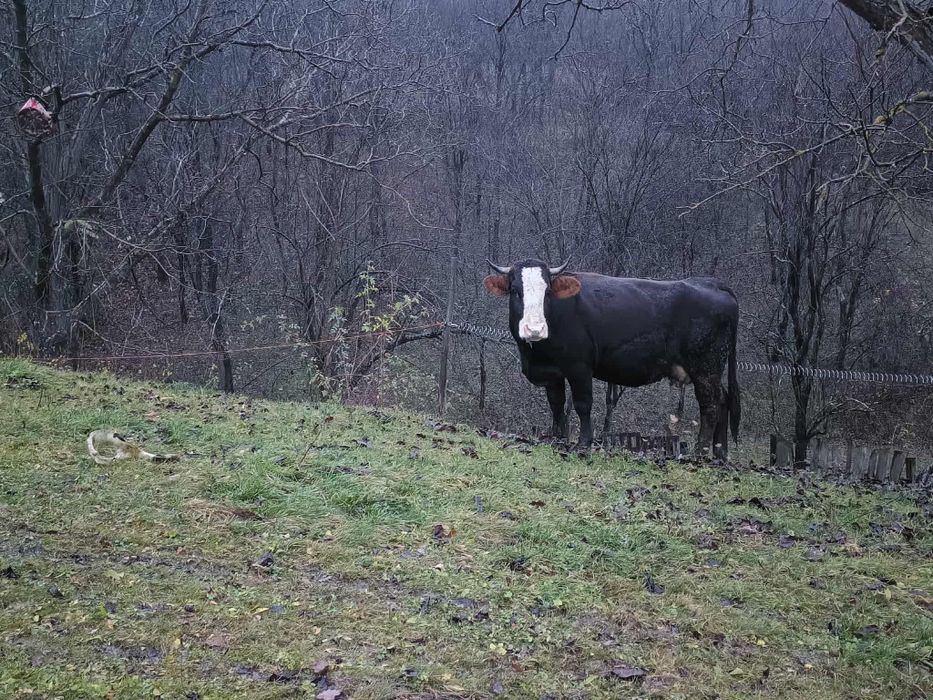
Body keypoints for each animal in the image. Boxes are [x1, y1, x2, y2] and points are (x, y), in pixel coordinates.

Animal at [483, 259, 740, 458]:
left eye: (547, 292)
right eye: (515, 290)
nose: (534, 329)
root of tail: (711, 283)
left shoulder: (579, 367)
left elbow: (583, 404)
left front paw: (583, 442)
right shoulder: (553, 372)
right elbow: (556, 404)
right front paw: (556, 437)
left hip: (705, 367)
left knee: (710, 405)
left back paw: (700, 451)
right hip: (711, 369)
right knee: (723, 400)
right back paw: (720, 452)